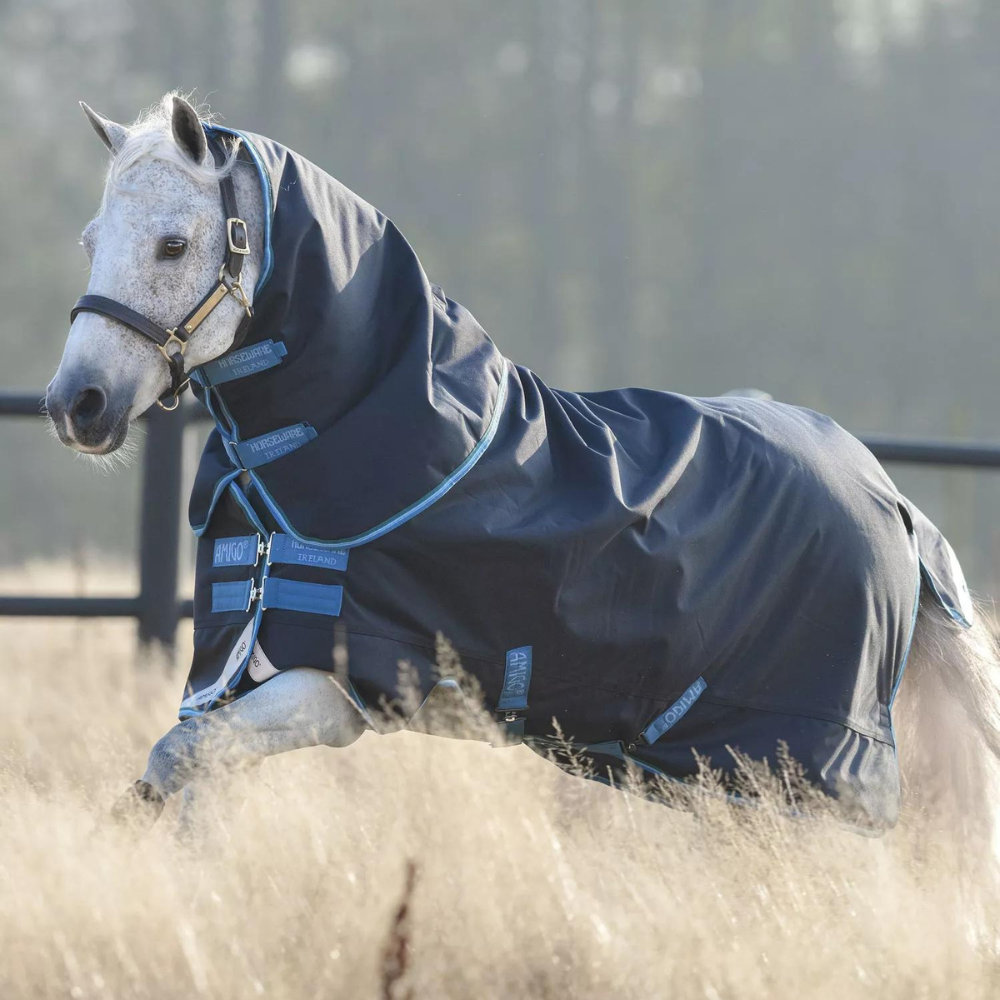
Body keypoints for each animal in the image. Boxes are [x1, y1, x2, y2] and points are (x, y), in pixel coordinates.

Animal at [46, 94, 1000, 838]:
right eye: (91, 240)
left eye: (174, 244)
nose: (76, 404)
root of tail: (893, 502)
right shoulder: (234, 671)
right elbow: (196, 781)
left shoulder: (338, 692)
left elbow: (175, 759)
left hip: (797, 770)